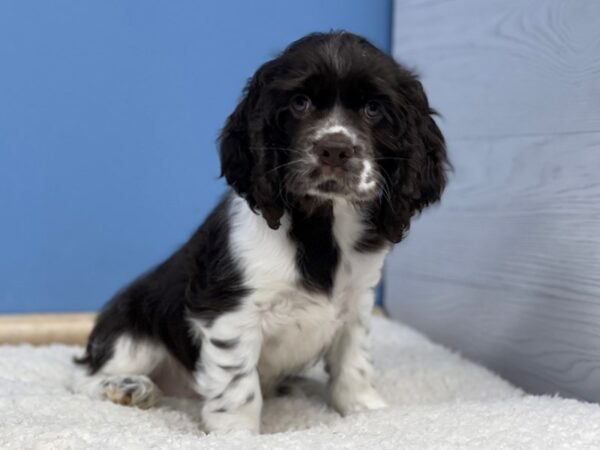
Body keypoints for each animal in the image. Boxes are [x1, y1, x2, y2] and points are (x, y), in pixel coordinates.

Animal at [75, 30, 448, 432]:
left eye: (373, 109)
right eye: (299, 103)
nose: (334, 149)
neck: (321, 227)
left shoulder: (357, 303)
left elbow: (354, 363)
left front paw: (366, 411)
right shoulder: (229, 312)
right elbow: (239, 384)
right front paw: (236, 433)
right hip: (133, 329)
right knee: (83, 377)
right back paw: (126, 387)